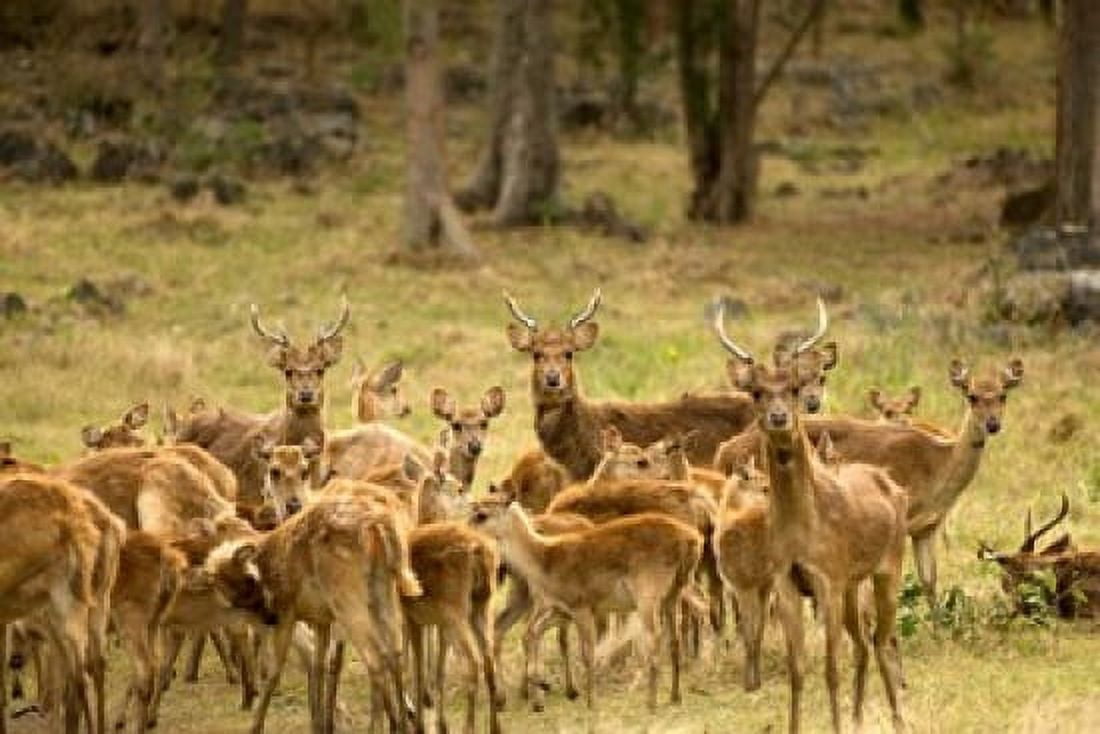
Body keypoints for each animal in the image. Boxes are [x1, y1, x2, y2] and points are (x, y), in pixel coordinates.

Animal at [711, 299, 909, 734]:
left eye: (796, 388)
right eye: (756, 392)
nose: (779, 417)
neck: (804, 530)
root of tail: (893, 484)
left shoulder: (826, 578)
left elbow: (831, 669)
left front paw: (835, 725)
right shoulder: (786, 581)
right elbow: (797, 669)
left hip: (888, 569)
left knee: (881, 641)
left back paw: (898, 718)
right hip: (853, 585)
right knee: (864, 644)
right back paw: (857, 718)